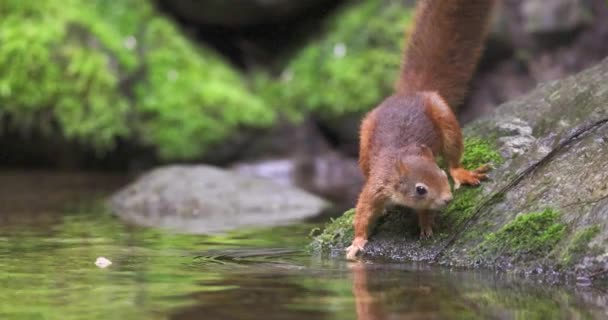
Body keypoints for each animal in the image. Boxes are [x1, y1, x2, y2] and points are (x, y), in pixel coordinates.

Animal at [344, 0, 496, 260]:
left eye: (440, 175)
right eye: (421, 189)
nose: (447, 199)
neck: (404, 156)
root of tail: (408, 94)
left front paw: (426, 224)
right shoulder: (376, 186)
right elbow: (362, 211)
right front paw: (357, 242)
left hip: (445, 118)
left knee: (453, 158)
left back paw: (461, 173)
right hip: (364, 141)